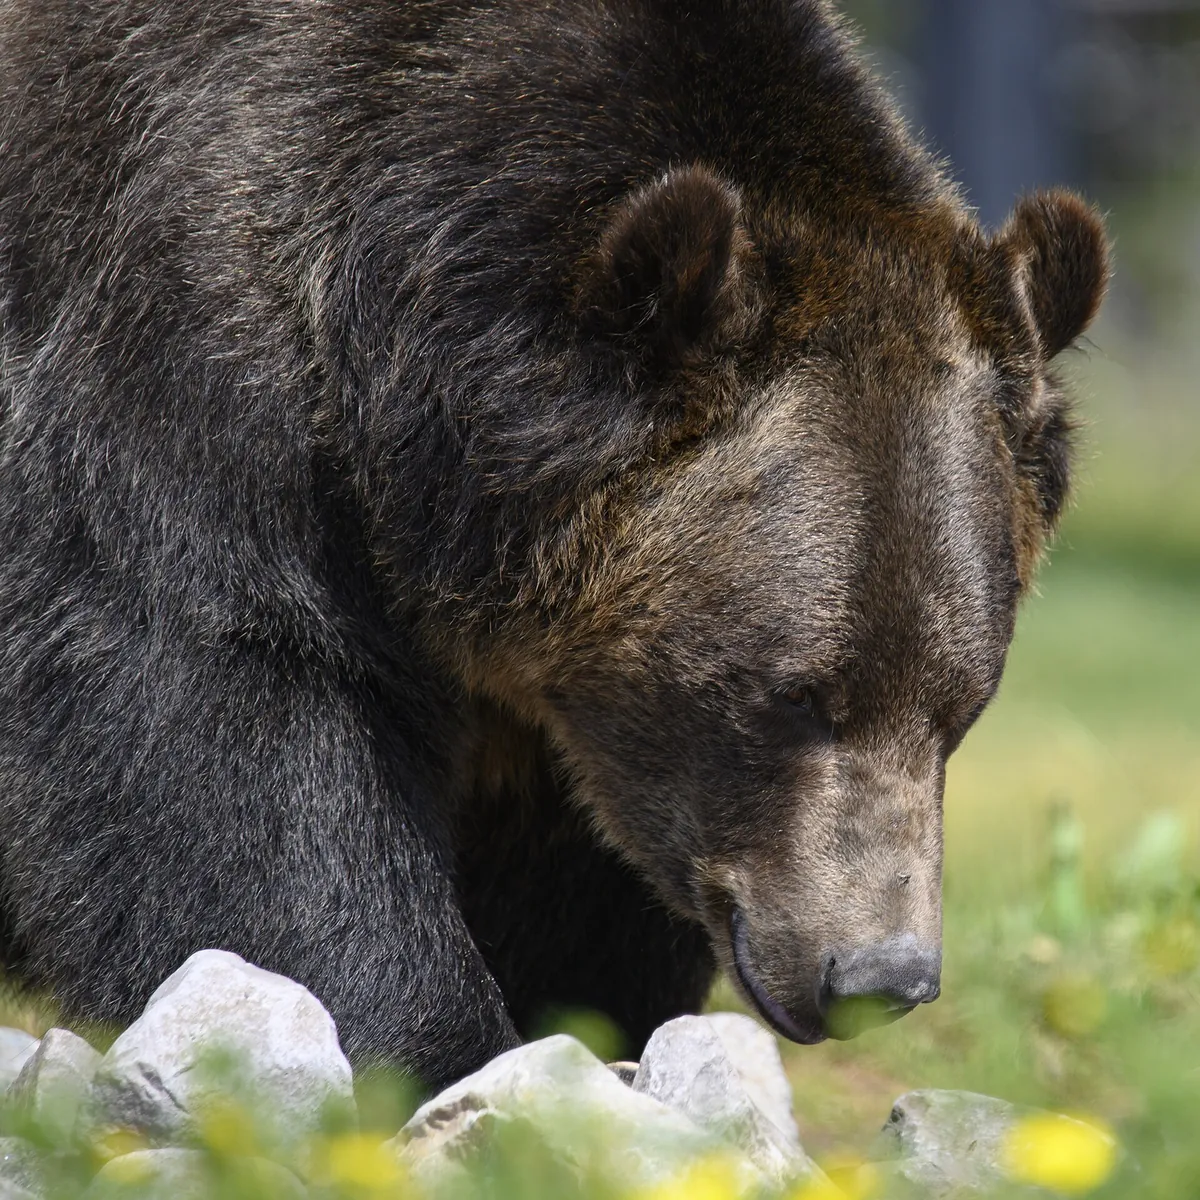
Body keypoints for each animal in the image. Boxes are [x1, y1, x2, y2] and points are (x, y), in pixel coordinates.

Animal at [0, 0, 1108, 1090]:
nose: (879, 975)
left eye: (960, 705)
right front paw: (422, 1041)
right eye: (795, 694)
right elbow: (225, 727)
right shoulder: (189, 351)